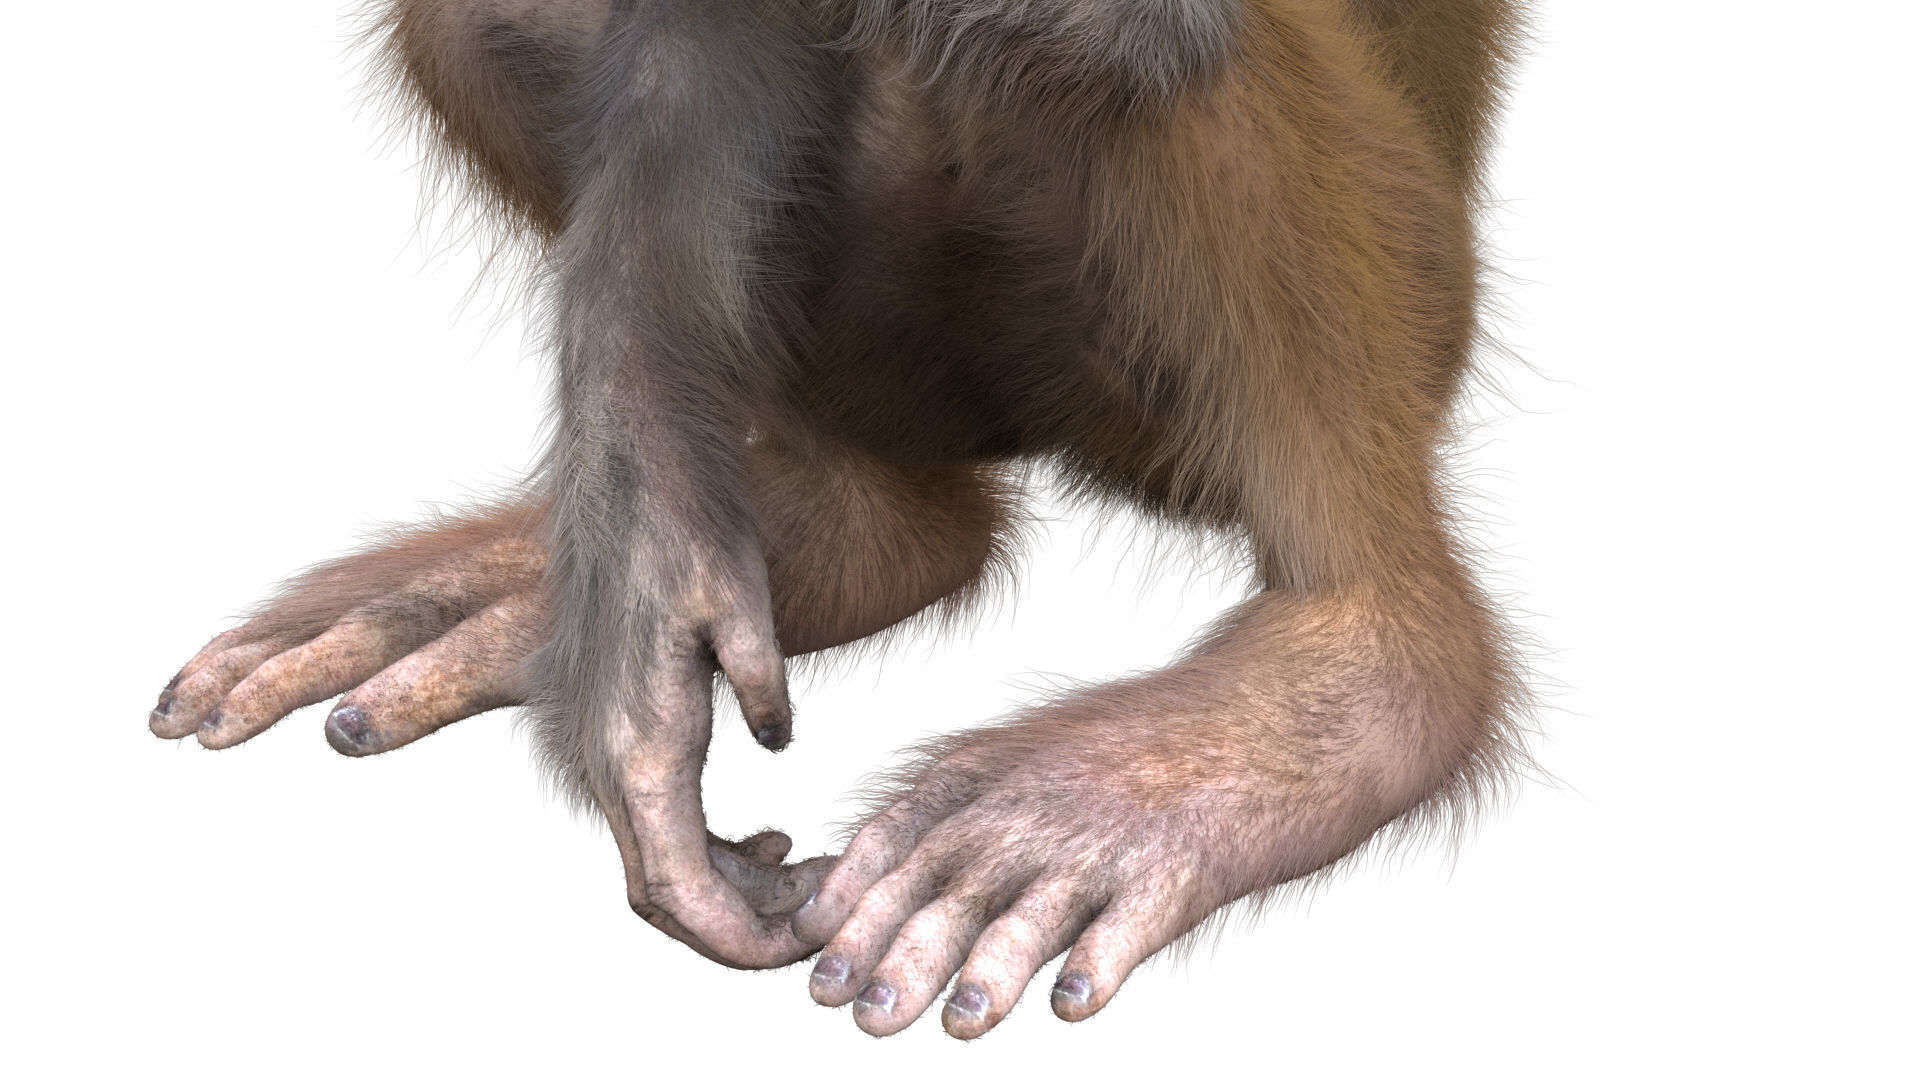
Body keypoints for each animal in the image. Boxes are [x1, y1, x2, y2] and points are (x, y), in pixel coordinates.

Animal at [149, 0, 1529, 1039]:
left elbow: (1154, 27)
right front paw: (642, 654)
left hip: (1368, 292)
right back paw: (846, 533)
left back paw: (1351, 669)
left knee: (1149, 48)